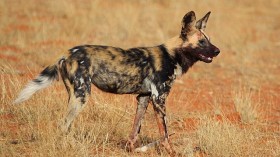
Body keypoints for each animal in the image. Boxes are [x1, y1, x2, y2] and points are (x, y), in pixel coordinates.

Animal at [14, 11, 220, 156]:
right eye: (201, 42)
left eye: (209, 40)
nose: (218, 51)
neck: (172, 55)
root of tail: (67, 53)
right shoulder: (159, 99)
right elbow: (165, 135)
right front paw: (172, 152)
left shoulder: (144, 98)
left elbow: (135, 130)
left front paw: (130, 149)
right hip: (82, 95)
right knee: (63, 125)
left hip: (74, 94)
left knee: (66, 125)